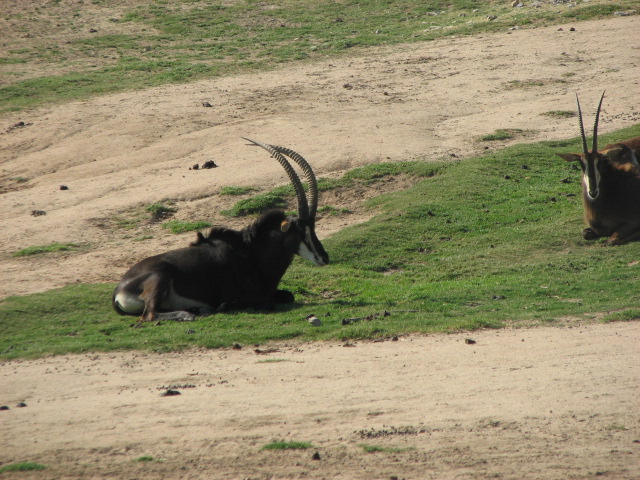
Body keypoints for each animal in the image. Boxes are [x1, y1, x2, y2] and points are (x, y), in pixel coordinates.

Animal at [112, 139, 329, 323]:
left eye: (313, 227)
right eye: (300, 231)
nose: (324, 258)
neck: (251, 253)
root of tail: (118, 290)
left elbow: (288, 295)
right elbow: (262, 302)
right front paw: (223, 306)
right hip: (159, 278)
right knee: (148, 315)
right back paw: (188, 314)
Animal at [557, 93, 640, 245]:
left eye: (600, 162)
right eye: (581, 164)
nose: (593, 191)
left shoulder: (632, 221)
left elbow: (612, 240)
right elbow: (585, 233)